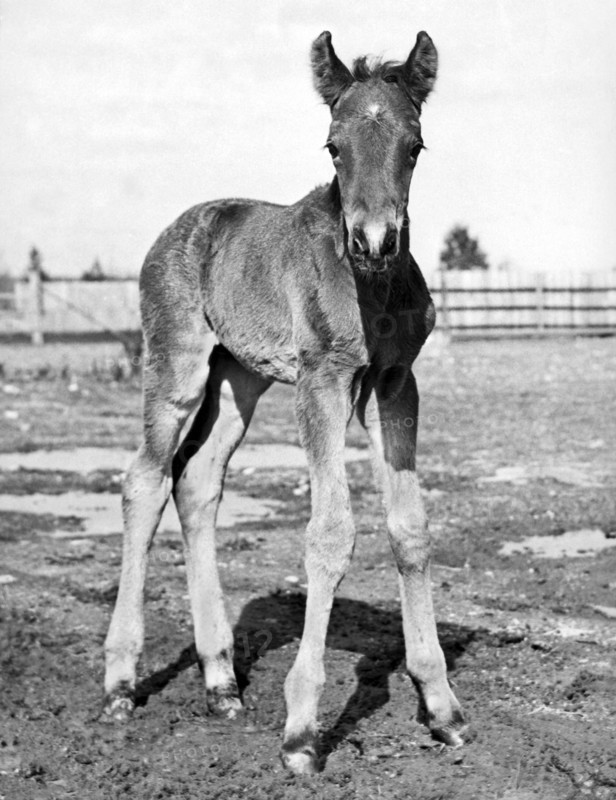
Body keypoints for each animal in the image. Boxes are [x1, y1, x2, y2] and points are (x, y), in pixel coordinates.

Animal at [102, 30, 466, 775]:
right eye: (333, 146)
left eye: (415, 144)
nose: (374, 240)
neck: (372, 289)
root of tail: (179, 227)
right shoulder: (322, 384)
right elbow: (330, 533)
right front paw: (301, 732)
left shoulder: (396, 383)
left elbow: (409, 529)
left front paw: (441, 706)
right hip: (177, 368)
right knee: (145, 480)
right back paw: (121, 681)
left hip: (239, 379)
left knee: (198, 480)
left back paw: (221, 682)